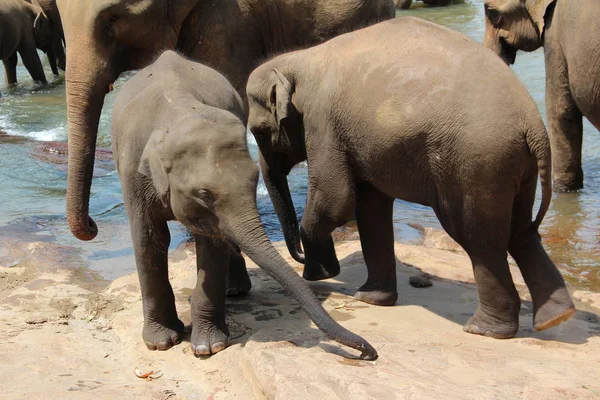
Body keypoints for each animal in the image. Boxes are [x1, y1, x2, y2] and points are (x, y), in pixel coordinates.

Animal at [110, 50, 378, 360]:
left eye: (254, 181)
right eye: (203, 193)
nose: (369, 352)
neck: (179, 110)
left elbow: (211, 245)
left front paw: (209, 347)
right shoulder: (133, 174)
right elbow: (149, 239)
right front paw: (161, 343)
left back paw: (235, 291)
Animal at [247, 17, 576, 340]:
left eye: (258, 131)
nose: (301, 259)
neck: (299, 59)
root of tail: (534, 126)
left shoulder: (323, 122)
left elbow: (335, 199)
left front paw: (321, 275)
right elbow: (370, 209)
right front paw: (369, 298)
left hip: (476, 164)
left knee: (479, 240)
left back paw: (484, 330)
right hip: (515, 166)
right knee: (520, 231)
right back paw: (556, 317)